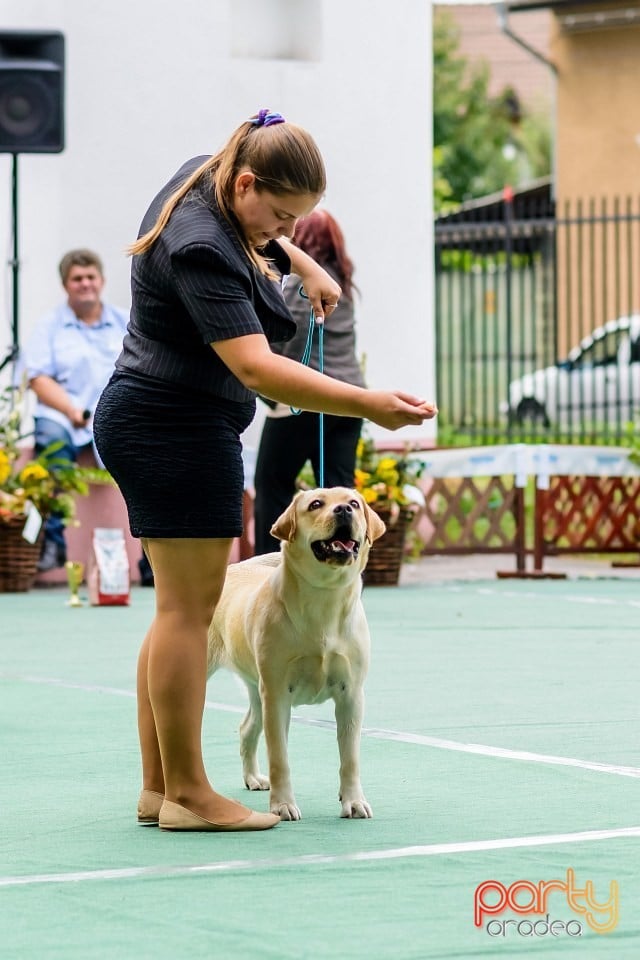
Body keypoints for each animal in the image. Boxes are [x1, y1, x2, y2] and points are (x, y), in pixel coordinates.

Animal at [208, 488, 384, 816]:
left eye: (354, 503)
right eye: (315, 504)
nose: (344, 510)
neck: (324, 599)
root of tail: (236, 566)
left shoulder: (351, 694)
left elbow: (350, 759)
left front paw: (353, 801)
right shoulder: (278, 695)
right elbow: (280, 758)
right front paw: (282, 805)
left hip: (257, 688)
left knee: (247, 728)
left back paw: (253, 777)